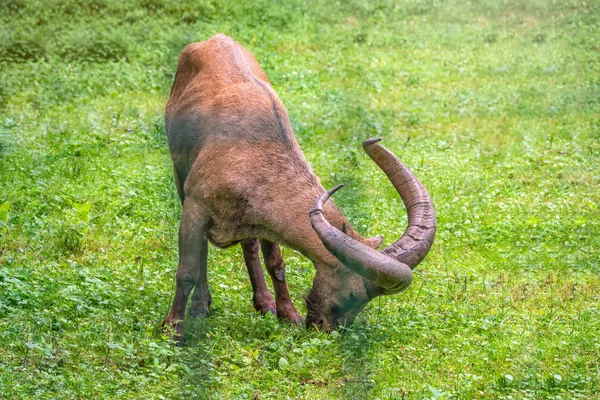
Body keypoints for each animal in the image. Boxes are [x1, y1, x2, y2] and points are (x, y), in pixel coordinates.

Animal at [164, 33, 436, 344]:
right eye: (354, 294)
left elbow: (276, 263)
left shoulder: (259, 219)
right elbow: (188, 269)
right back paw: (201, 306)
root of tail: (214, 39)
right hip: (179, 172)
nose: (325, 327)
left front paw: (288, 315)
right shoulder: (195, 206)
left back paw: (264, 304)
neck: (253, 151)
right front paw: (175, 330)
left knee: (250, 247)